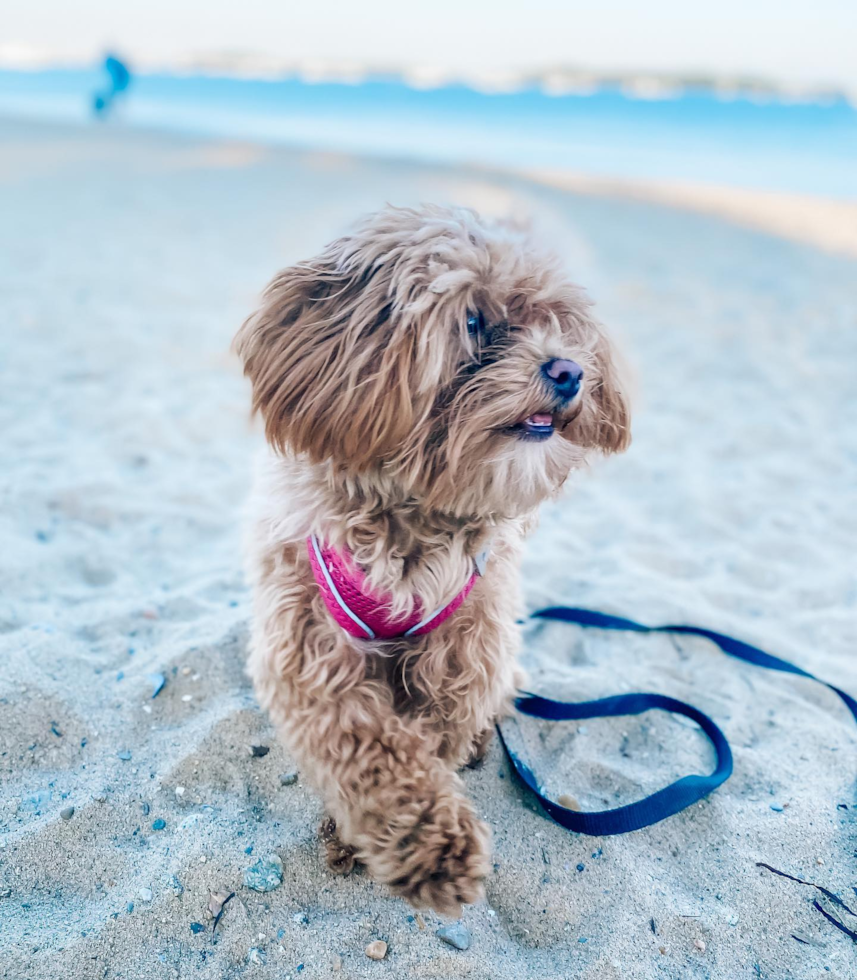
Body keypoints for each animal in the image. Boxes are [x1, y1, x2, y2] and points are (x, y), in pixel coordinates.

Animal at [234, 203, 628, 916]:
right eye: (473, 321)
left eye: (556, 321)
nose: (569, 371)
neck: (416, 517)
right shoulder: (309, 645)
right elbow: (367, 745)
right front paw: (423, 842)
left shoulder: (464, 652)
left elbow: (431, 736)